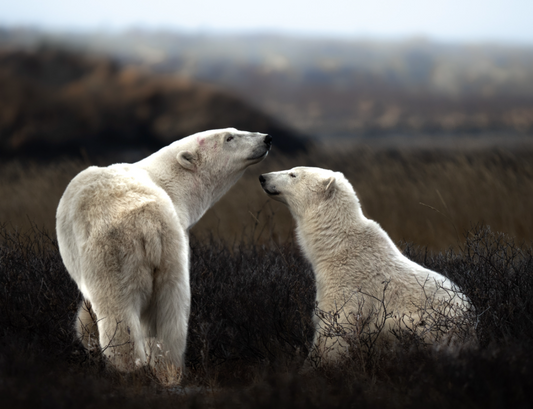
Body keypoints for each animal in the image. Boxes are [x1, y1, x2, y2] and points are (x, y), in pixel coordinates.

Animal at [58, 127, 272, 370]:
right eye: (230, 137)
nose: (266, 138)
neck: (171, 184)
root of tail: (149, 222)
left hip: (114, 251)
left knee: (118, 311)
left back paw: (127, 367)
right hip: (168, 251)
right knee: (170, 316)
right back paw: (167, 367)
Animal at [258, 166, 470, 364]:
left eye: (293, 174)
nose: (263, 177)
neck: (335, 242)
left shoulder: (349, 280)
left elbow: (335, 327)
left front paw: (314, 364)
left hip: (431, 325)